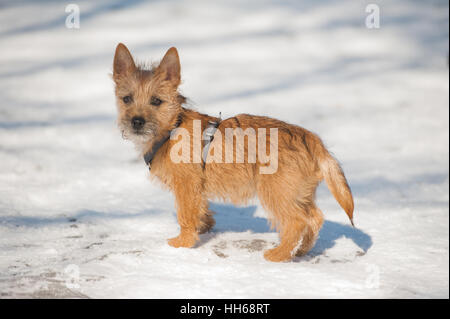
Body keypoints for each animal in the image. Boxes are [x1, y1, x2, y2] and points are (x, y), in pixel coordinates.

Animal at [112, 42, 356, 262]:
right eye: (127, 99)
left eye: (156, 101)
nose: (137, 121)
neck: (172, 127)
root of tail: (312, 139)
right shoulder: (196, 189)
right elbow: (201, 210)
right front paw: (204, 227)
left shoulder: (186, 186)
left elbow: (186, 215)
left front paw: (182, 244)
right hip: (299, 193)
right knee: (315, 218)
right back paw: (301, 250)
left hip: (277, 193)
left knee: (297, 221)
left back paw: (279, 255)